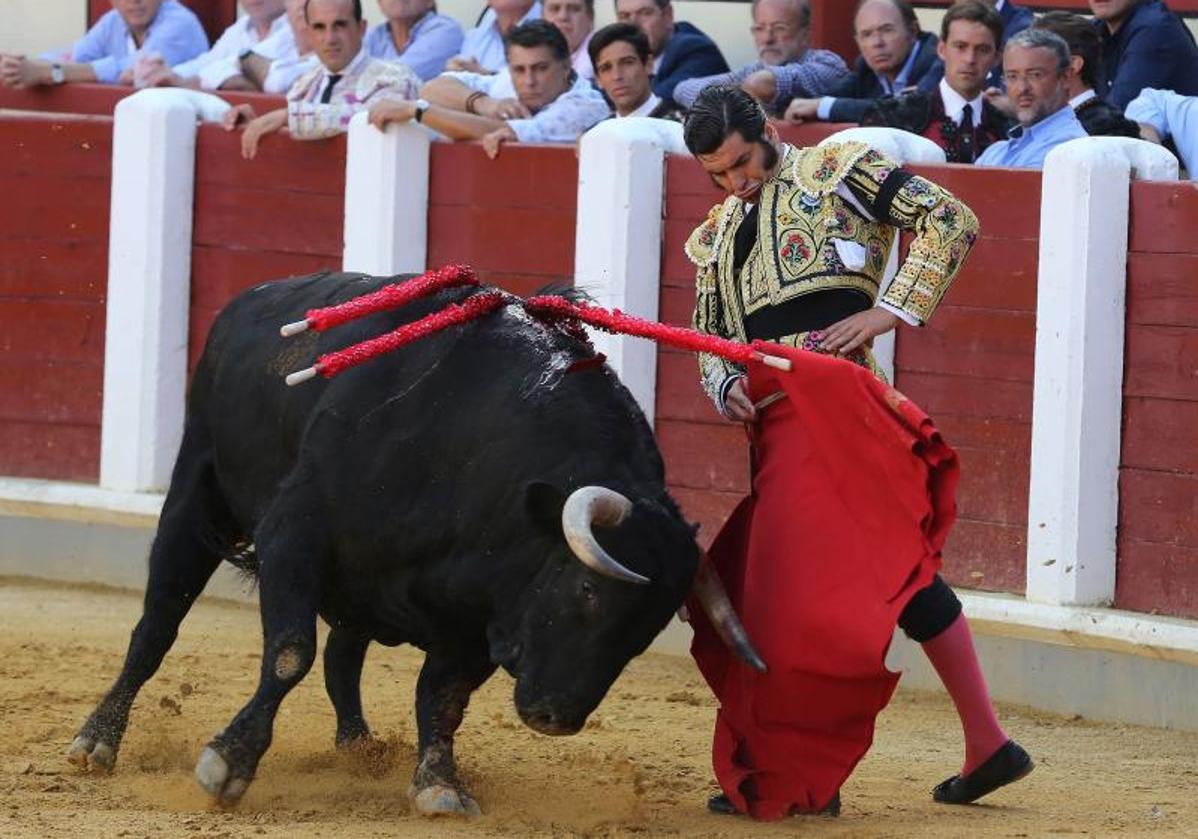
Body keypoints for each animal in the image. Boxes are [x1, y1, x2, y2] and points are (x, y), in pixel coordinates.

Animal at [65, 272, 752, 815]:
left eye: (651, 625)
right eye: (587, 587)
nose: (554, 717)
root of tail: (251, 300)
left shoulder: (481, 615)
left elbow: (442, 697)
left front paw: (439, 786)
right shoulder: (294, 533)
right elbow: (289, 654)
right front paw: (227, 764)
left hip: (357, 590)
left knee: (344, 654)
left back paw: (358, 748)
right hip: (194, 495)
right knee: (156, 626)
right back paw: (96, 741)